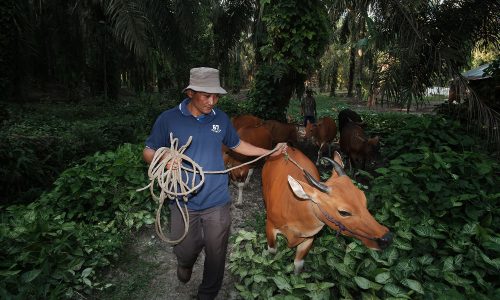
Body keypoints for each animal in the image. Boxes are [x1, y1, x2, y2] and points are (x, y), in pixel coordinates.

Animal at [260, 148, 392, 274]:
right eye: (343, 212)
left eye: (364, 199)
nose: (386, 238)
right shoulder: (270, 227)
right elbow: (272, 253)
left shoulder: (309, 239)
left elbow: (298, 264)